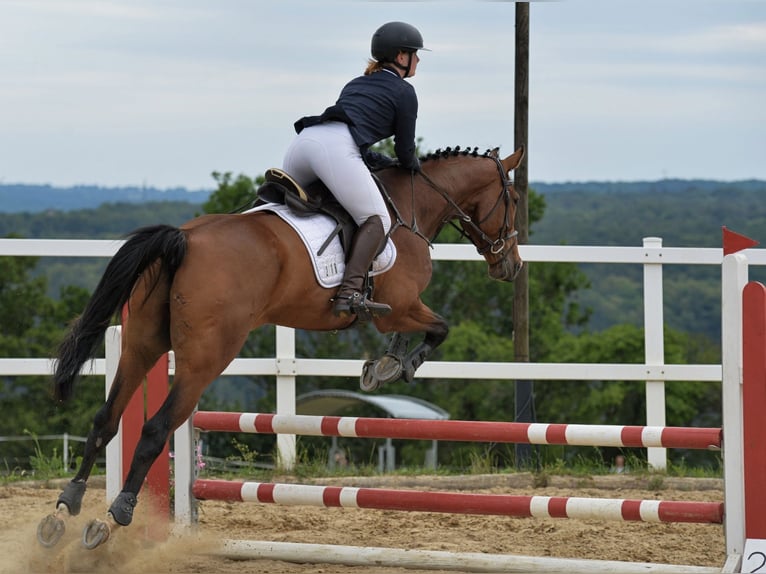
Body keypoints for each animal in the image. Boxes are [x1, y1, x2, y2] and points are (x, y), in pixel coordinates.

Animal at [37, 144, 528, 548]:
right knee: (156, 428)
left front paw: (383, 364)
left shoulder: (396, 309)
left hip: (142, 343)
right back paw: (114, 517)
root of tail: (185, 239)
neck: (411, 207)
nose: (511, 266)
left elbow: (415, 332)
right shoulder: (403, 304)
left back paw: (65, 509)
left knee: (106, 419)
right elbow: (439, 328)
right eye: (513, 201)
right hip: (205, 359)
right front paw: (394, 367)